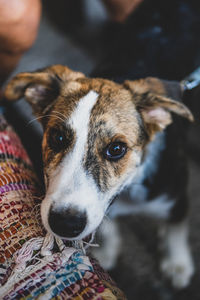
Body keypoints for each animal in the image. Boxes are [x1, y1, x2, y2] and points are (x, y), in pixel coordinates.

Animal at [3, 65, 195, 288]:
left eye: (116, 149)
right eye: (58, 138)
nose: (65, 224)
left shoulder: (178, 195)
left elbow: (176, 230)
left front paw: (177, 263)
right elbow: (106, 226)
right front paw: (107, 252)